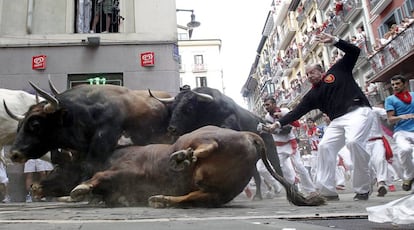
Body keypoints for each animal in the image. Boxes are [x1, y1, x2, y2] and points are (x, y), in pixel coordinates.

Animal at [69, 126, 326, 208]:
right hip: (217, 192)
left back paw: (181, 158)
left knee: (206, 144)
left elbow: (99, 176)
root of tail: (249, 135)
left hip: (198, 136)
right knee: (192, 196)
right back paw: (160, 199)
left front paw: (79, 189)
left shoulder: (125, 168)